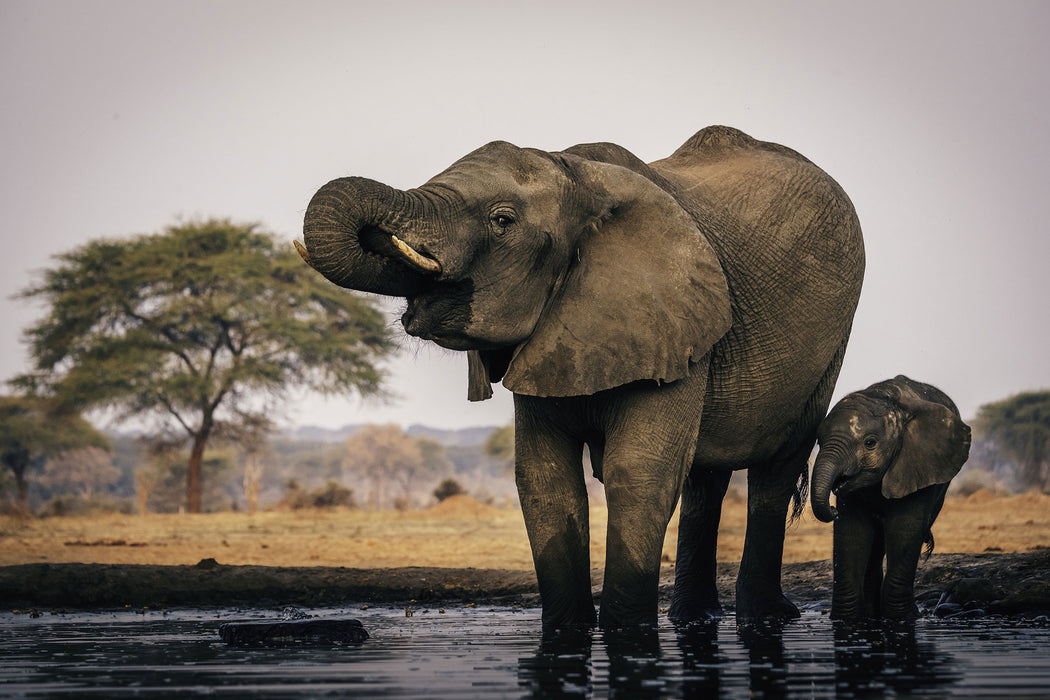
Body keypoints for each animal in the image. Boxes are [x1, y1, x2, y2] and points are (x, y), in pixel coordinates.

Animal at [300, 124, 865, 629]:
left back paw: (763, 619)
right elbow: (544, 477)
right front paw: (568, 633)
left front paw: (625, 634)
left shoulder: (670, 321)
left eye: (502, 220)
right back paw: (694, 619)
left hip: (829, 340)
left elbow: (639, 473)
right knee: (705, 480)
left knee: (776, 468)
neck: (577, 178)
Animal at [810, 377, 965, 617]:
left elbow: (904, 530)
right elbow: (851, 533)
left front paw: (903, 617)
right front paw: (848, 619)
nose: (832, 509)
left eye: (870, 443)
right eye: (818, 441)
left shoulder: (916, 464)